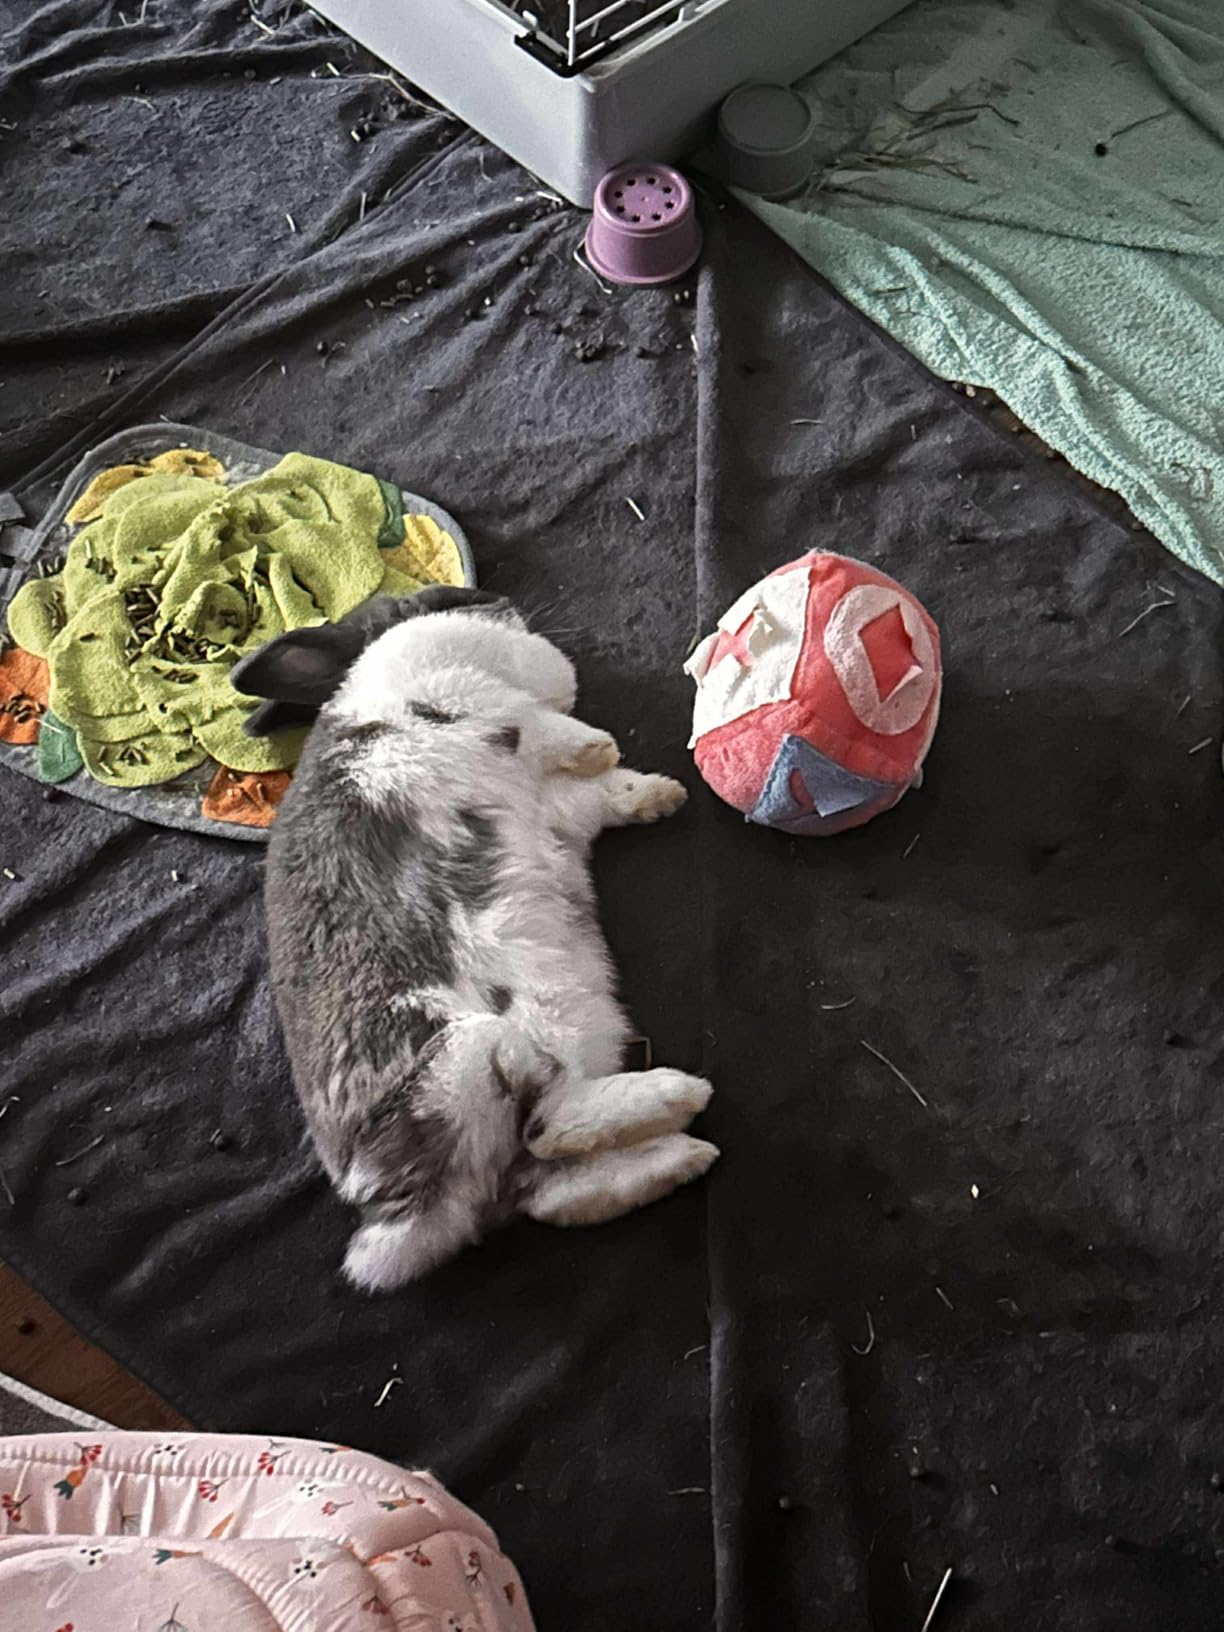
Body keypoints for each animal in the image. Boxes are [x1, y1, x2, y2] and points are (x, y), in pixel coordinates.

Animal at [231, 587, 718, 1291]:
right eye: (423, 598)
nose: (498, 601)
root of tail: (399, 1220)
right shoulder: (458, 702)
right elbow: (529, 722)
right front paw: (597, 744)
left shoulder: (557, 803)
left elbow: (599, 794)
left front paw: (659, 793)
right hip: (466, 1057)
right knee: (548, 1129)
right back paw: (679, 1097)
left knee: (547, 1181)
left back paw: (680, 1151)